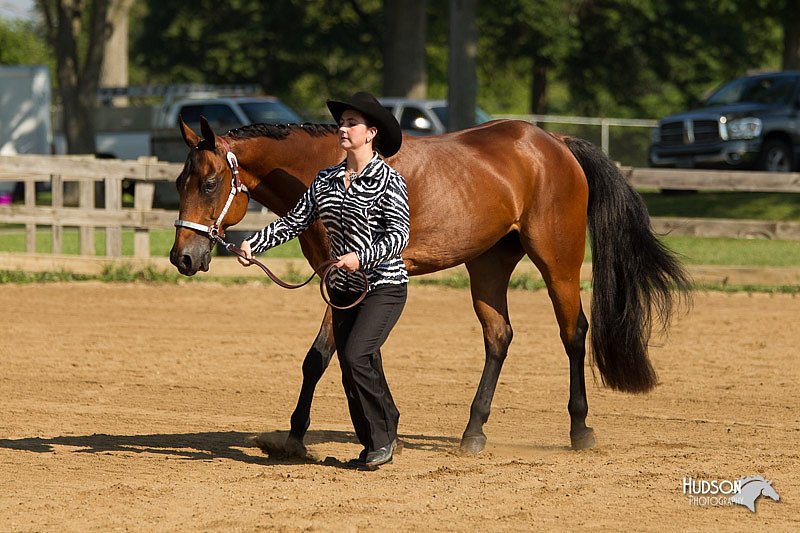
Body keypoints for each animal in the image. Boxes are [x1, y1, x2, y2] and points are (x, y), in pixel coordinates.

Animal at [172, 116, 692, 454]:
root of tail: (555, 142)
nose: (183, 256)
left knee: (573, 333)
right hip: (488, 265)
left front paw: (343, 435)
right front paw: (318, 434)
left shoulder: (351, 275)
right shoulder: (343, 283)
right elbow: (337, 356)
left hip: (558, 261)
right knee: (498, 337)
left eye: (210, 183)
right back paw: (473, 432)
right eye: (179, 181)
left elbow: (331, 356)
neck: (328, 169)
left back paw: (580, 430)